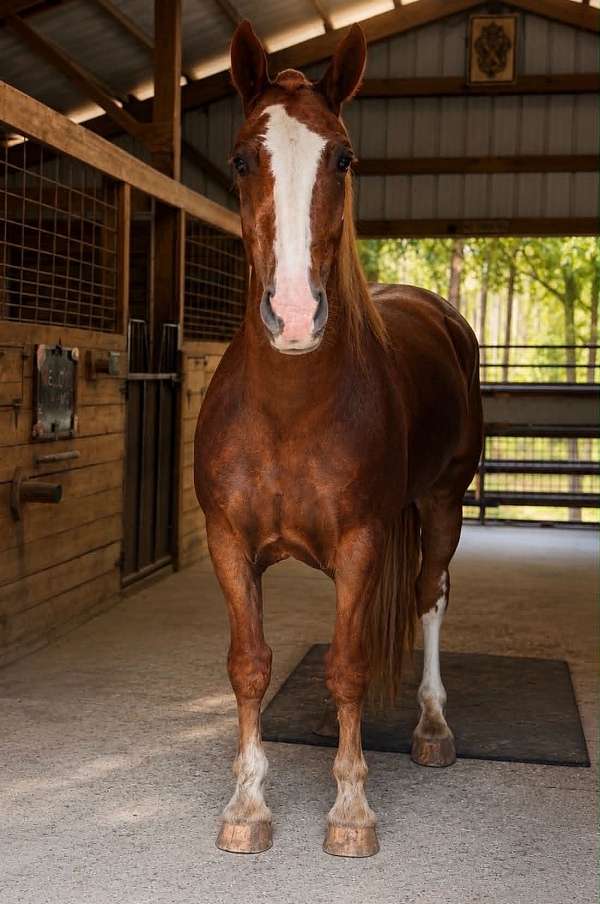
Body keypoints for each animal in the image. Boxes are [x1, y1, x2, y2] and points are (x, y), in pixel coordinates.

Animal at [194, 20, 483, 858]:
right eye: (241, 157)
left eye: (344, 157)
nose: (294, 315)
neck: (291, 408)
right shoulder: (228, 542)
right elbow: (250, 667)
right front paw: (248, 803)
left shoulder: (362, 542)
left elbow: (351, 666)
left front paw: (351, 808)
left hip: (443, 505)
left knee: (429, 598)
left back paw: (431, 726)